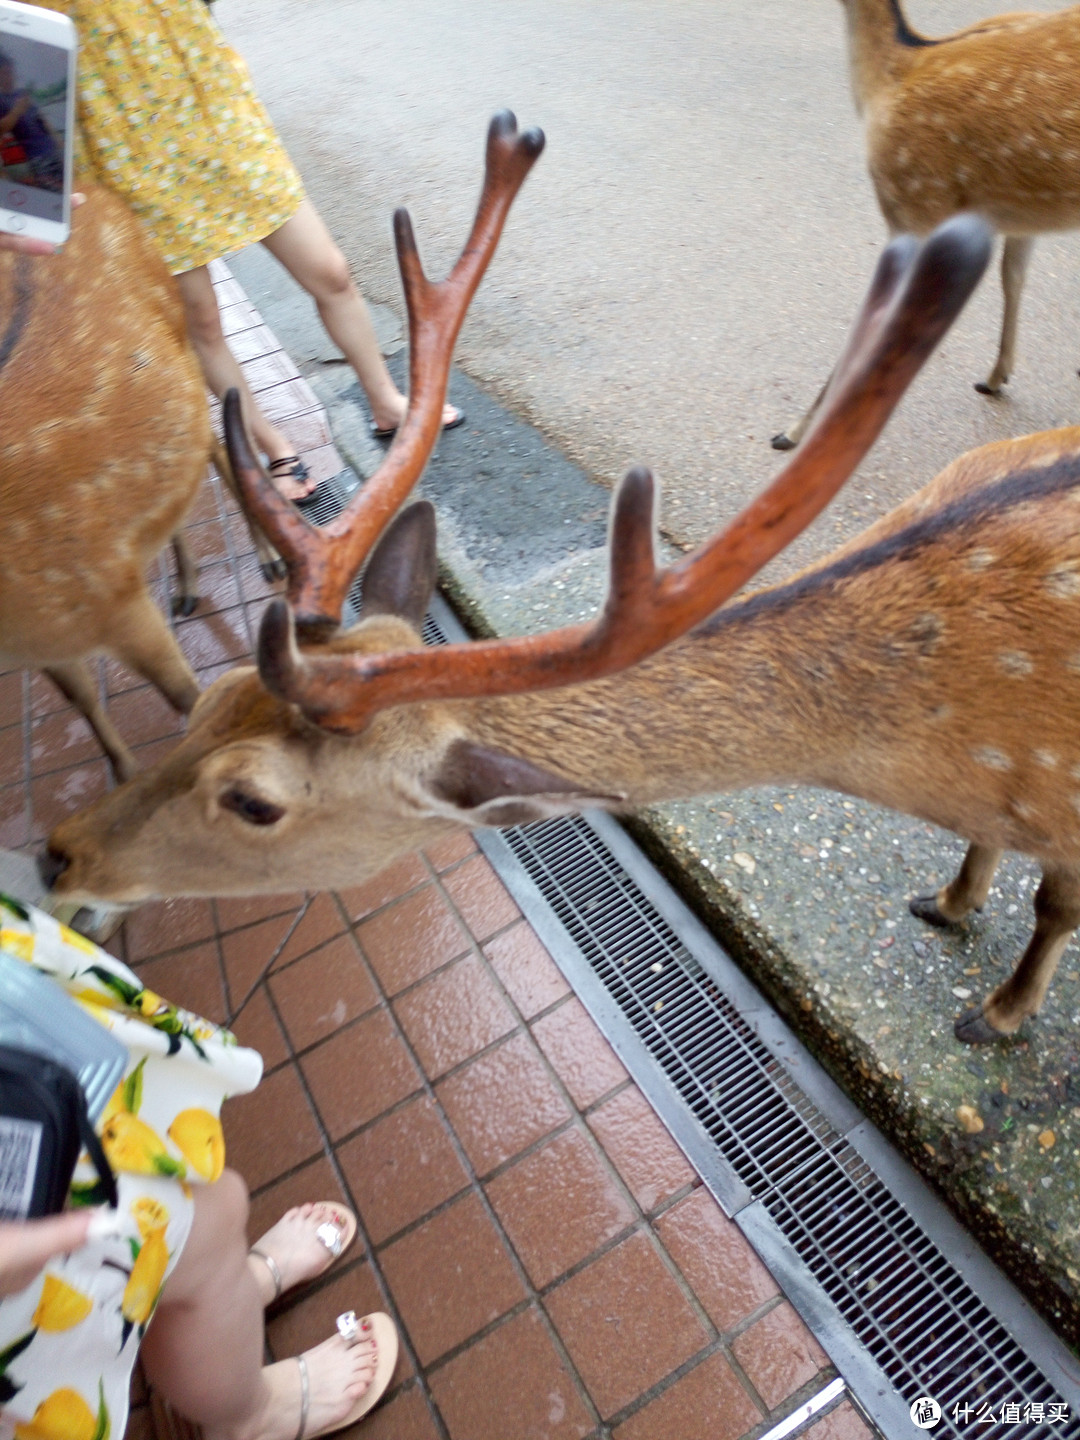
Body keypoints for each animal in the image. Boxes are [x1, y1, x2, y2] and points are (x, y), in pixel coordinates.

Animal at [0, 187, 283, 789]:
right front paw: (125, 772)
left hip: (181, 332)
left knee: (217, 446)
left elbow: (186, 697)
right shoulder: (45, 639)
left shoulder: (113, 599)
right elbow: (81, 698)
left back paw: (268, 559)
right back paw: (186, 584)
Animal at [36, 104, 1080, 1048]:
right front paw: (950, 900)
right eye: (209, 699)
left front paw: (997, 1013)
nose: (57, 855)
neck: (947, 753)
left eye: (254, 801)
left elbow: (1053, 910)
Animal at [771, 0, 1080, 449]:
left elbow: (878, 319)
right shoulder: (1018, 215)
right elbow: (1013, 276)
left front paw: (795, 432)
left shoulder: (915, 205)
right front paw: (996, 377)